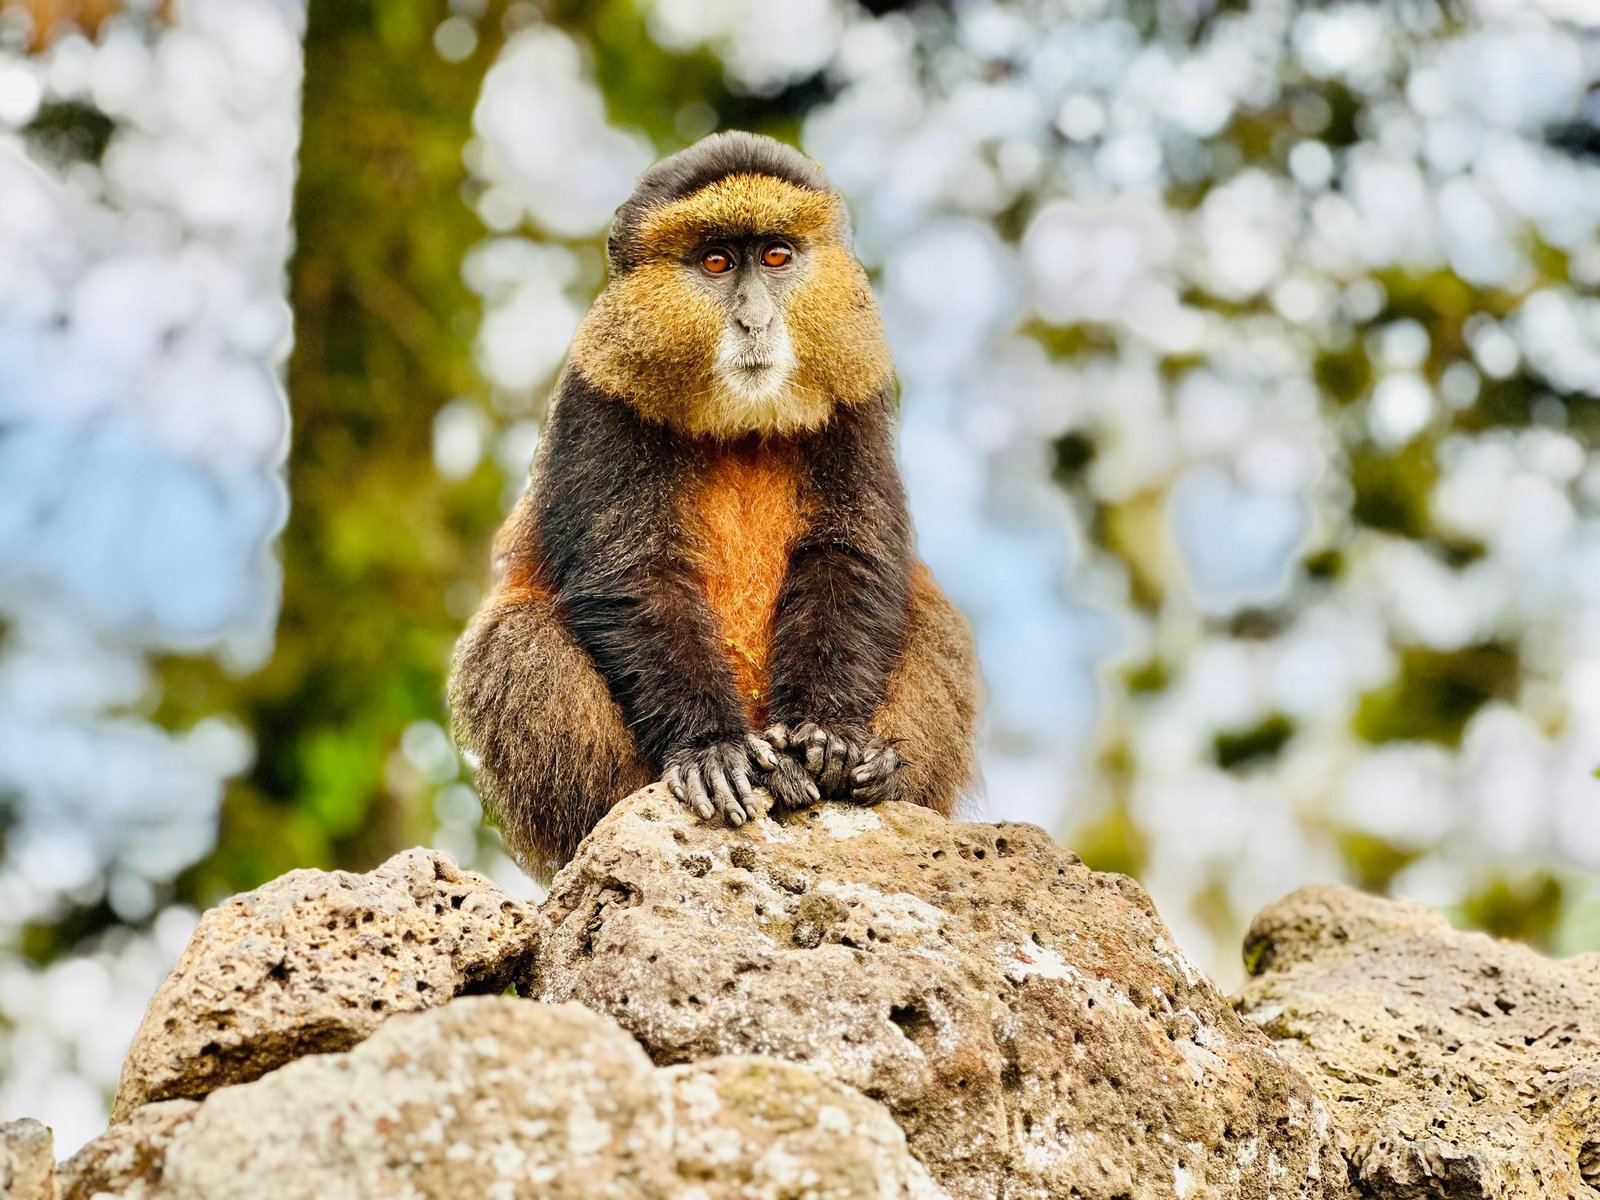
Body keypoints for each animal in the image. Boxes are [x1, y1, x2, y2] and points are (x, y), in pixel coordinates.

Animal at [448, 131, 981, 883]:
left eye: (777, 256)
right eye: (717, 261)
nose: (754, 319)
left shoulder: (858, 395)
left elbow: (853, 553)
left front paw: (834, 740)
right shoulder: (599, 396)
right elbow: (633, 572)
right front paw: (710, 750)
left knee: (934, 616)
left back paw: (879, 776)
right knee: (515, 634)